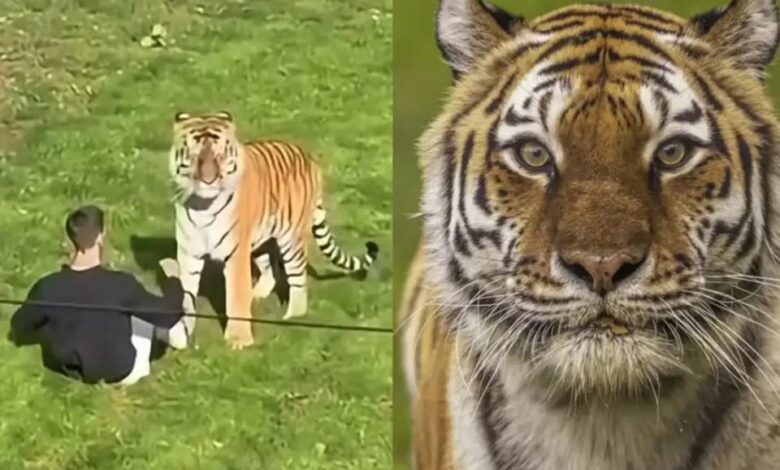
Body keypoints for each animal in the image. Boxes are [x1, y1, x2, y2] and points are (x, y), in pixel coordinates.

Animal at [169, 111, 378, 349]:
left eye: (220, 155)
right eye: (195, 156)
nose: (209, 180)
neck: (202, 206)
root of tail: (309, 158)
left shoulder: (235, 253)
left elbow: (236, 296)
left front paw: (239, 340)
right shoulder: (189, 254)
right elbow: (185, 295)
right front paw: (182, 334)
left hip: (291, 240)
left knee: (297, 278)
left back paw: (292, 316)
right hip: (261, 239)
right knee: (269, 269)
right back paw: (257, 294)